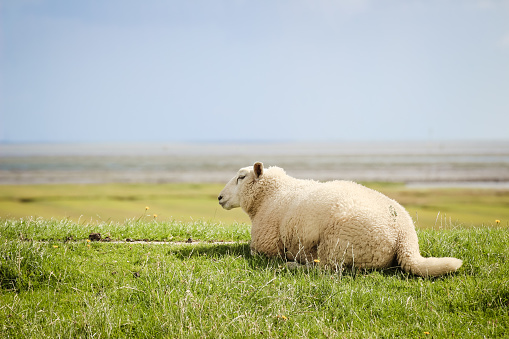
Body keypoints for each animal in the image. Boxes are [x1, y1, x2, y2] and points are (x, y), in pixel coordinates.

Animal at [216, 163, 462, 278]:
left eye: (241, 177)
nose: (219, 197)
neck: (270, 194)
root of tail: (405, 236)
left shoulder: (265, 245)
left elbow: (251, 249)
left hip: (337, 244)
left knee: (326, 269)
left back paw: (292, 264)